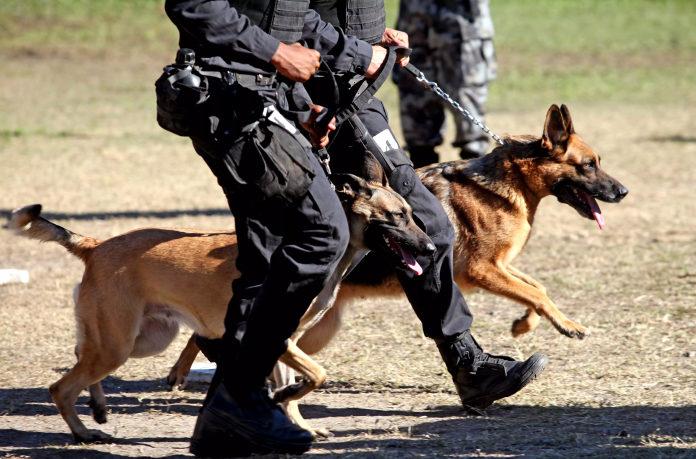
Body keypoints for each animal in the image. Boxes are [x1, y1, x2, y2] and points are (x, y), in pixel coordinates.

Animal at [9, 155, 436, 446]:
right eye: (398, 216)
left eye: (411, 213)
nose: (433, 249)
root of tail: (95, 245)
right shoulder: (280, 337)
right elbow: (317, 374)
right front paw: (285, 401)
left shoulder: (285, 342)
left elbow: (295, 387)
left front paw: (294, 421)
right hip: (119, 343)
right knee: (61, 387)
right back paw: (84, 433)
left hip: (139, 340)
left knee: (80, 361)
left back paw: (96, 410)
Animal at [166, 103, 628, 434]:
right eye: (589, 165)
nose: (623, 191)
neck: (507, 182)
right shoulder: (482, 270)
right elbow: (536, 290)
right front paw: (567, 325)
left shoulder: (497, 269)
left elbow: (536, 287)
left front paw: (523, 325)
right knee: (208, 334)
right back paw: (185, 372)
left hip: (315, 328)